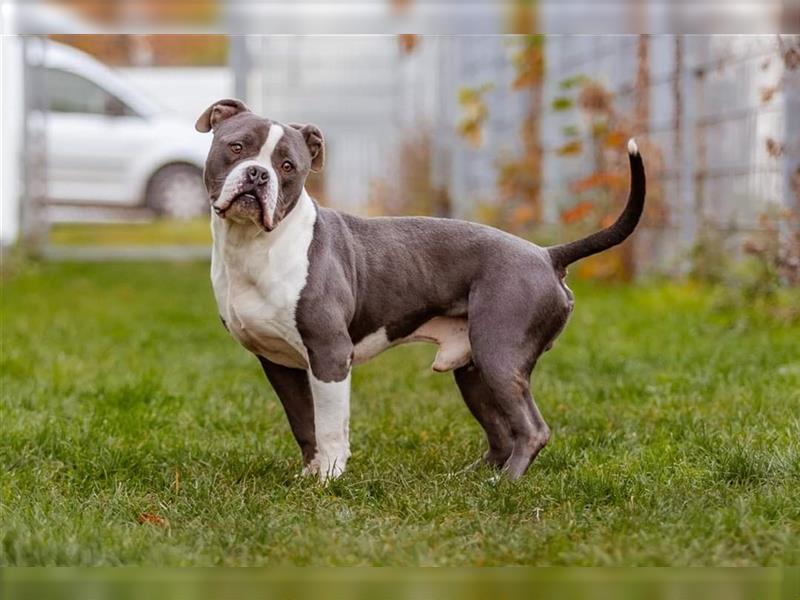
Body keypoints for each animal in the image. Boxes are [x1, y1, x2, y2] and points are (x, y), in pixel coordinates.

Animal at [197, 98, 648, 482]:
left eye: (288, 166)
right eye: (236, 147)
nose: (259, 174)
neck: (254, 246)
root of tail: (546, 255)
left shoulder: (329, 355)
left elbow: (330, 429)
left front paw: (329, 481)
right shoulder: (280, 364)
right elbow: (304, 425)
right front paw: (310, 476)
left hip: (500, 354)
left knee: (532, 429)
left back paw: (506, 486)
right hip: (474, 370)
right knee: (502, 433)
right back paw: (472, 480)